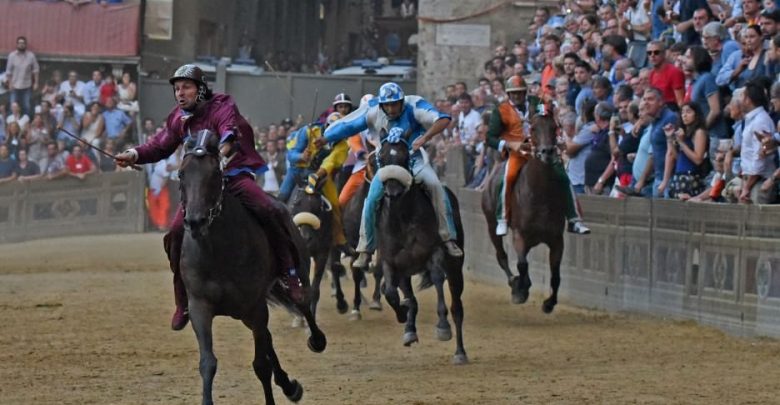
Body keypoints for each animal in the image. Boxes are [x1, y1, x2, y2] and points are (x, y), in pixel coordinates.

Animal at [179, 130, 326, 404]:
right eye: (182, 174)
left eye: (214, 174)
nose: (195, 221)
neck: (217, 253)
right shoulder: (200, 307)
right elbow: (208, 363)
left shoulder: (255, 307)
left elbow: (261, 366)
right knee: (268, 337)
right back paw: (289, 386)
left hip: (295, 271)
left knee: (303, 300)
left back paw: (316, 340)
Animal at [374, 134, 466, 364]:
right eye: (382, 156)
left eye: (405, 156)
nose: (393, 190)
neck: (402, 219)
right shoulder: (391, 261)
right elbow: (391, 293)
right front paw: (402, 315)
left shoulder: (434, 252)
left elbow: (437, 278)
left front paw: (442, 326)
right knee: (407, 296)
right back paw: (409, 327)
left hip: (455, 266)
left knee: (457, 307)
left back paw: (460, 352)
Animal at [478, 105, 564, 310]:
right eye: (532, 128)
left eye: (554, 127)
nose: (547, 152)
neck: (541, 195)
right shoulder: (520, 235)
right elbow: (522, 264)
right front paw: (520, 290)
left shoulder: (557, 239)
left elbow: (555, 272)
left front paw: (549, 303)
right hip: (491, 224)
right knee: (501, 256)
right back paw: (514, 282)